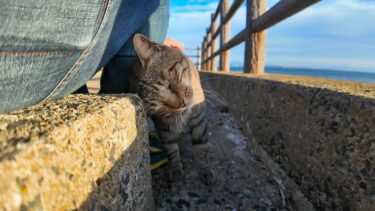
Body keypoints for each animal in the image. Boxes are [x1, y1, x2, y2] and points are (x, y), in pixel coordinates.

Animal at [129, 34, 213, 183]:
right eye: (161, 107)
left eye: (169, 85)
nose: (182, 104)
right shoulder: (164, 127)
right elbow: (171, 149)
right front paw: (175, 169)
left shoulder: (199, 120)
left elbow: (201, 148)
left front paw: (205, 170)